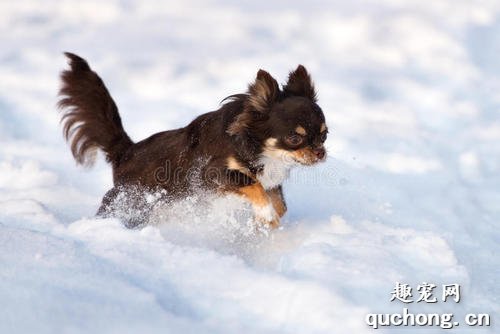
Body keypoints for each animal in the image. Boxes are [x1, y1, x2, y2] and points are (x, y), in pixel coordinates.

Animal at [58, 52, 328, 230]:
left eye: (325, 135)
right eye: (294, 138)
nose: (320, 153)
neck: (260, 149)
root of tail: (126, 151)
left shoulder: (272, 180)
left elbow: (280, 204)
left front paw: (265, 221)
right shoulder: (212, 174)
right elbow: (253, 186)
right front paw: (265, 214)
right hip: (131, 202)